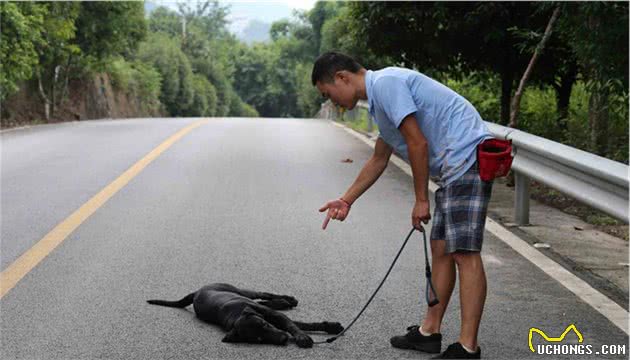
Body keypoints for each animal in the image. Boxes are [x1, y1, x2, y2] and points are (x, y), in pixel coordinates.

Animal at [147, 282, 346, 348]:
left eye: (265, 325)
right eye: (258, 339)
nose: (283, 339)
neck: (237, 315)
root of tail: (196, 291)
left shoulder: (275, 317)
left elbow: (296, 325)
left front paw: (304, 337)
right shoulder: (273, 318)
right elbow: (298, 324)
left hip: (240, 290)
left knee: (263, 294)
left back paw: (288, 299)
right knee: (266, 301)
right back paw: (285, 302)